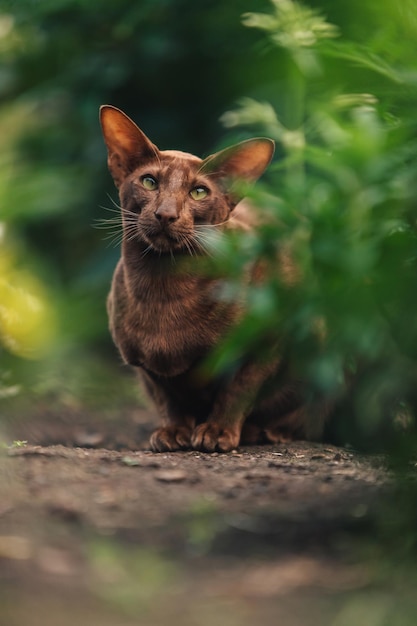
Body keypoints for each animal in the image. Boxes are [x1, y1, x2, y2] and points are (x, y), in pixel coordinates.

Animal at [100, 105, 322, 450]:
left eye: (198, 192)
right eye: (149, 182)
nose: (166, 214)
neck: (164, 289)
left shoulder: (267, 344)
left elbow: (237, 391)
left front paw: (218, 432)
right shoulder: (144, 364)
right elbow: (168, 398)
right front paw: (173, 432)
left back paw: (268, 432)